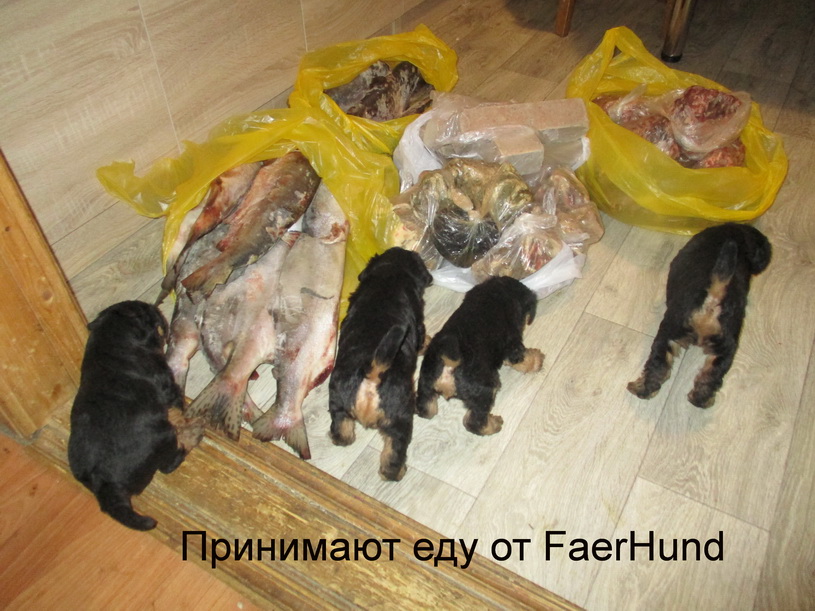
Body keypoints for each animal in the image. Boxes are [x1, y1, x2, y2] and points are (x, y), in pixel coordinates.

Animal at [68, 300, 202, 531]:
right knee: (169, 464)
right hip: (163, 437)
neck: (111, 338)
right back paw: (193, 434)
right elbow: (178, 405)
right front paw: (186, 418)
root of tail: (104, 485)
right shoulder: (166, 383)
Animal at [328, 247, 432, 481]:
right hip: (399, 418)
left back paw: (339, 438)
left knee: (342, 427)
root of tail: (373, 374)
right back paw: (396, 473)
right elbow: (422, 337)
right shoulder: (419, 323)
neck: (390, 274)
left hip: (338, 399)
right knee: (394, 450)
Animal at [416, 276, 543, 435]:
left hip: (425, 381)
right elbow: (522, 359)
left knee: (426, 408)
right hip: (485, 389)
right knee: (474, 421)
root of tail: (448, 362)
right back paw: (494, 424)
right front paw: (537, 360)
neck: (499, 292)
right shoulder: (512, 342)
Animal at [627, 222, 771, 408]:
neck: (740, 234)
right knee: (711, 376)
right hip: (726, 346)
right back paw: (700, 400)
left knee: (658, 364)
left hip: (670, 331)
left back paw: (640, 389)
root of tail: (712, 302)